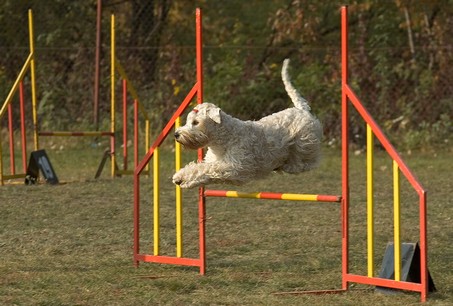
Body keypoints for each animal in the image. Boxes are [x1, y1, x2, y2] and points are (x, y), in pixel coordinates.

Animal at [172, 59, 322, 189]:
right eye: (188, 120)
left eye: (196, 122)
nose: (176, 134)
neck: (224, 137)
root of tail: (302, 109)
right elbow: (201, 170)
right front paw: (181, 177)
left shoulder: (234, 166)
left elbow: (206, 168)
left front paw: (183, 178)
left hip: (305, 143)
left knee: (309, 162)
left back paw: (289, 165)